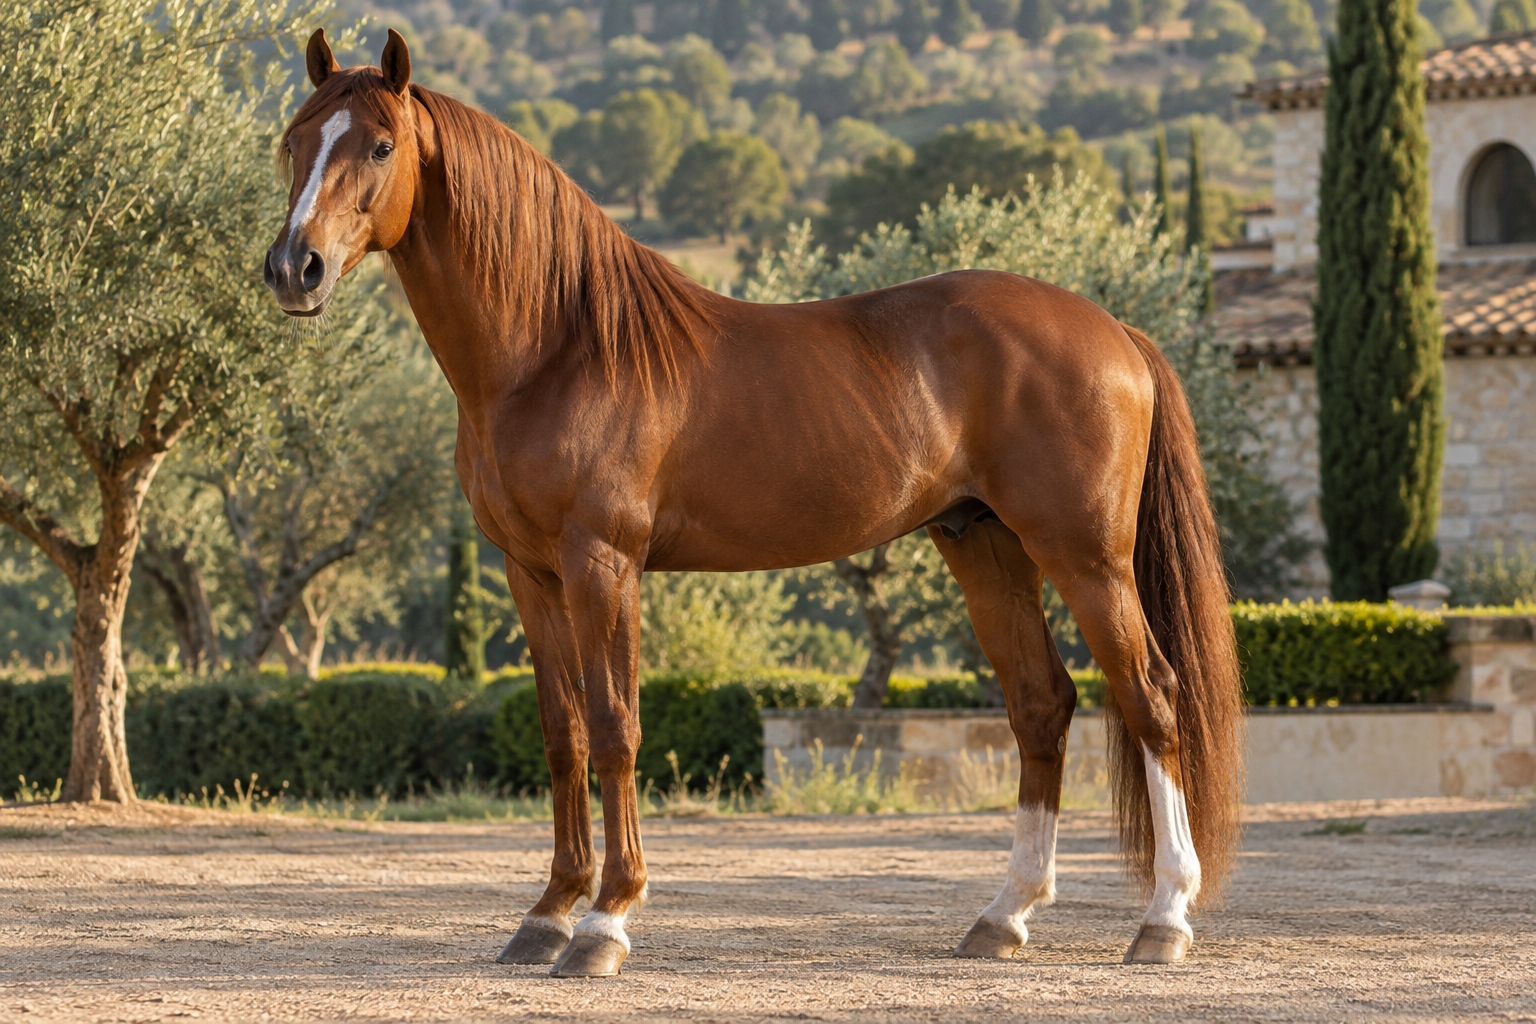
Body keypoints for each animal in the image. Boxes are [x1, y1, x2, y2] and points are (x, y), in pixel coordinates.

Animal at [263, 28, 1244, 978]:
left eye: (380, 145)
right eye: (294, 142)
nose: (293, 268)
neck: (557, 348)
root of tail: (1114, 330)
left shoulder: (602, 563)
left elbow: (616, 728)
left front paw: (605, 923)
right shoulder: (529, 573)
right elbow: (562, 734)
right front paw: (546, 915)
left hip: (1084, 554)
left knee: (1151, 696)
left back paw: (1163, 920)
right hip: (984, 546)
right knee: (1041, 705)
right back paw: (1004, 916)